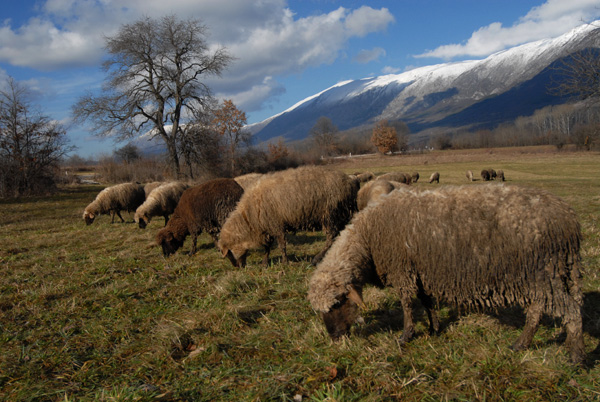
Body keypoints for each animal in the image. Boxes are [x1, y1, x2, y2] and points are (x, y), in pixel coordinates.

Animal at [218, 165, 358, 268]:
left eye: (229, 253)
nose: (238, 267)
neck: (248, 218)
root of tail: (351, 181)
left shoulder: (276, 225)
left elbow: (282, 246)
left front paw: (284, 263)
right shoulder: (268, 228)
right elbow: (267, 247)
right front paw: (265, 263)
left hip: (331, 214)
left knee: (331, 237)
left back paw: (316, 259)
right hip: (340, 215)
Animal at [310, 185, 584, 364]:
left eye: (338, 303)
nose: (334, 338)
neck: (368, 237)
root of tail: (569, 219)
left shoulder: (403, 270)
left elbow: (407, 304)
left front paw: (406, 336)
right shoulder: (419, 271)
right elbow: (426, 301)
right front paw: (434, 327)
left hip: (542, 271)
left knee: (570, 310)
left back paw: (575, 356)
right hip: (540, 275)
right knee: (537, 310)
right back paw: (521, 344)